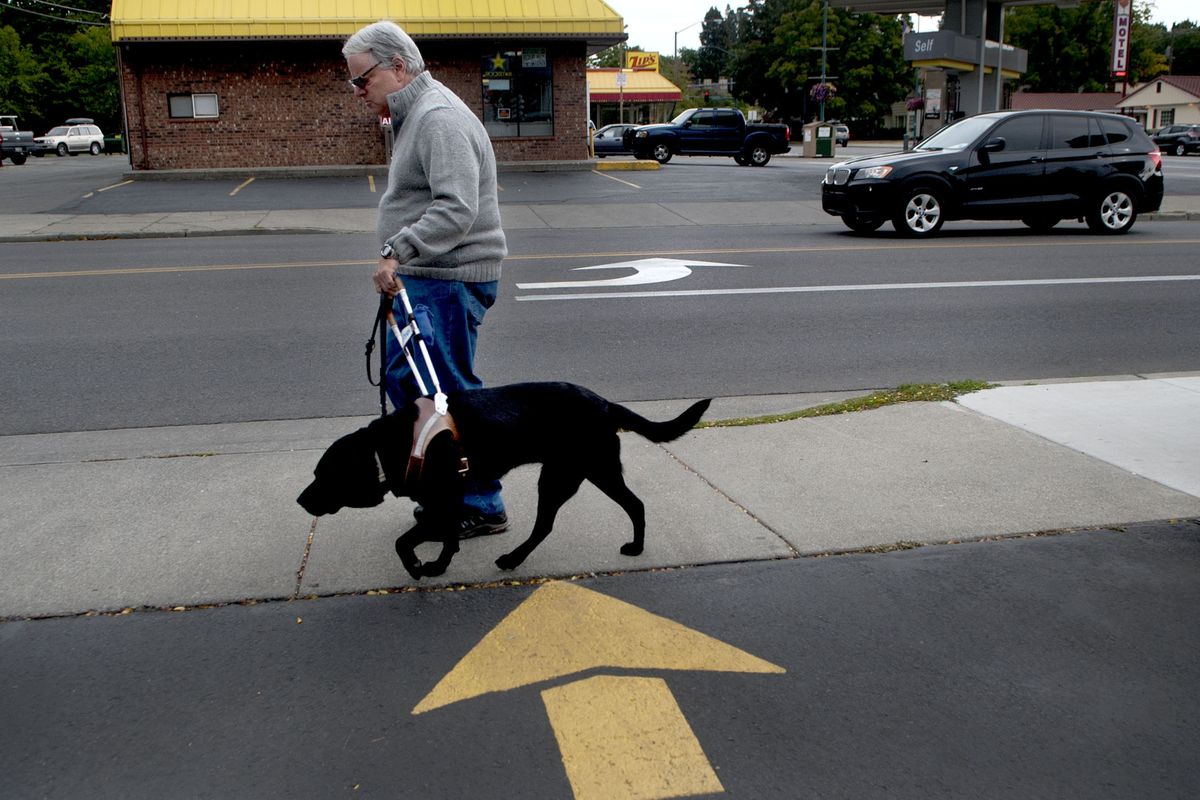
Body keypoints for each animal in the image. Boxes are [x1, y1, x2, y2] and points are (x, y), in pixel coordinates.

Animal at [298, 383, 710, 578]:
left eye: (323, 475)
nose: (300, 500)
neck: (389, 446)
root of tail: (606, 404)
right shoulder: (449, 502)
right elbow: (448, 540)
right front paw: (438, 566)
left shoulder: (441, 501)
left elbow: (404, 541)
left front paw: (416, 566)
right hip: (581, 472)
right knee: (603, 511)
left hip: (574, 473)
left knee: (568, 519)